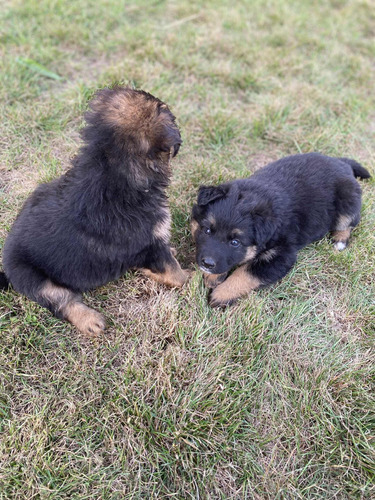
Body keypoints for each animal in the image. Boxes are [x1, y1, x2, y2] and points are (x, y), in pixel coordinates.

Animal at [0, 87, 188, 336]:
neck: (111, 164)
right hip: (35, 279)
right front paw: (193, 278)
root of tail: (7, 272)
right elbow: (175, 273)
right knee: (62, 301)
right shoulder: (151, 243)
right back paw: (91, 321)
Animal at [192, 153, 372, 308]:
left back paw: (339, 241)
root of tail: (342, 163)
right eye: (207, 230)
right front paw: (213, 277)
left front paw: (221, 295)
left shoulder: (281, 255)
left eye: (235, 242)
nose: (207, 263)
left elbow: (245, 273)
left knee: (349, 222)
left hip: (347, 203)